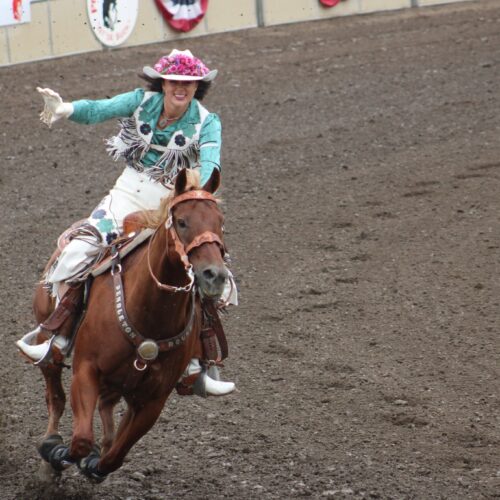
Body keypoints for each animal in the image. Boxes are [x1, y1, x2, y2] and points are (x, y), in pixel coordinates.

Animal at [28, 168, 227, 480]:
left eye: (220, 223)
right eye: (182, 221)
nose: (215, 275)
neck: (150, 316)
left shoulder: (153, 400)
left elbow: (116, 455)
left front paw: (95, 462)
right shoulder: (86, 370)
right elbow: (81, 439)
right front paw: (57, 453)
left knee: (106, 407)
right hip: (47, 342)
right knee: (55, 394)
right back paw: (50, 454)